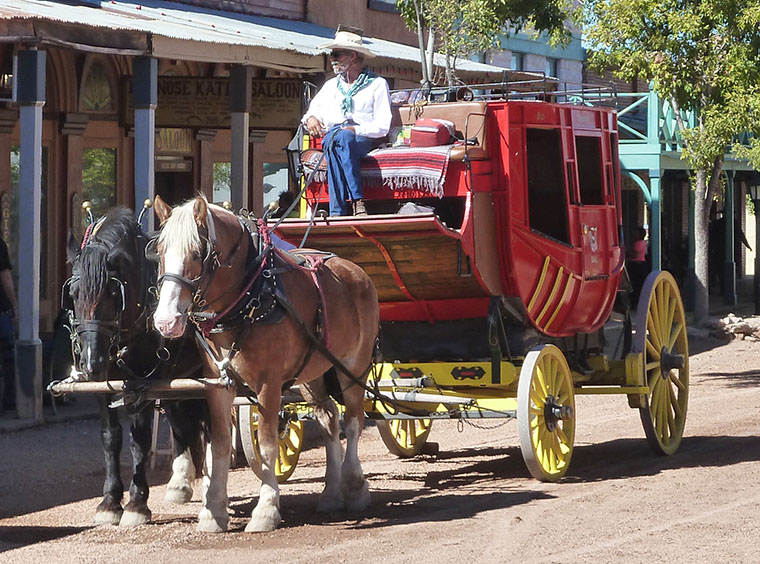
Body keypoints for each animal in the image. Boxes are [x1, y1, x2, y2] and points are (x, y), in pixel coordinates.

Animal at [64, 208, 208, 528]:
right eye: (74, 294)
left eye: (112, 293)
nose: (91, 363)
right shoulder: (102, 386)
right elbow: (111, 437)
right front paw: (109, 501)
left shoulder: (142, 384)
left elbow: (139, 439)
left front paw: (137, 503)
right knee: (182, 420)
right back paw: (181, 482)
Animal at [151, 195, 380, 532]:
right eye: (160, 251)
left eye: (196, 252)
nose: (166, 322)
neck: (251, 297)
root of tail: (357, 271)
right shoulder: (217, 384)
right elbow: (219, 444)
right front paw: (213, 511)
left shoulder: (269, 384)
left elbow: (269, 443)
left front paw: (266, 510)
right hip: (312, 372)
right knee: (328, 419)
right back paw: (331, 493)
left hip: (352, 367)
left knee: (352, 422)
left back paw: (354, 486)